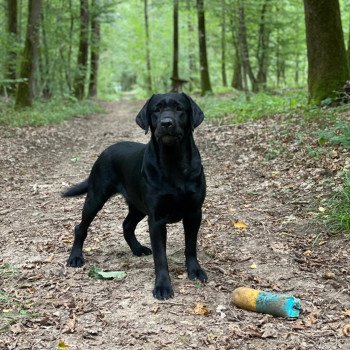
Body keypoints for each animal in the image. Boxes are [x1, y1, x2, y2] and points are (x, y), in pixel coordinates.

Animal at [63, 92, 206, 298]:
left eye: (180, 108)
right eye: (156, 110)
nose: (166, 123)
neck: (173, 161)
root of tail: (105, 151)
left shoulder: (194, 213)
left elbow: (191, 246)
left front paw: (195, 271)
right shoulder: (156, 219)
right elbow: (160, 257)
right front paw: (162, 286)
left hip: (137, 206)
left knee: (127, 225)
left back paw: (137, 249)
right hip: (96, 197)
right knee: (80, 227)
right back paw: (75, 257)